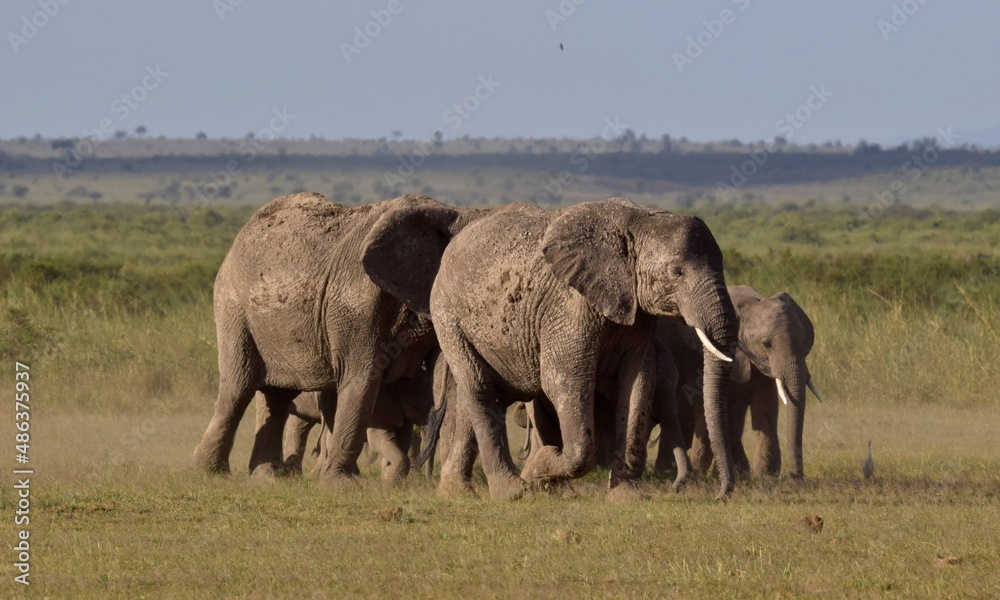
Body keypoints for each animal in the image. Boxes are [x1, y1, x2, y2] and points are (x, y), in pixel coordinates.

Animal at [192, 192, 484, 488]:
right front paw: (343, 485)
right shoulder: (355, 305)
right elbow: (361, 377)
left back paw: (268, 477)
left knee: (276, 396)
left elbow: (453, 383)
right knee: (238, 387)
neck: (447, 211)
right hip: (232, 304)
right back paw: (210, 472)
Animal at [365, 199, 739, 499]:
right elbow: (564, 380)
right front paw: (539, 468)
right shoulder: (569, 305)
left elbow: (637, 383)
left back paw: (457, 494)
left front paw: (627, 498)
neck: (637, 220)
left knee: (476, 395)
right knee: (479, 388)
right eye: (676, 272)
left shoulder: (635, 311)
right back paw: (512, 491)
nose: (722, 495)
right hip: (448, 315)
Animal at [666, 285, 820, 479]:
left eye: (805, 342)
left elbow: (765, 407)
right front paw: (743, 474)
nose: (795, 476)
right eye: (767, 344)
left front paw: (765, 476)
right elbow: (720, 409)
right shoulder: (699, 359)